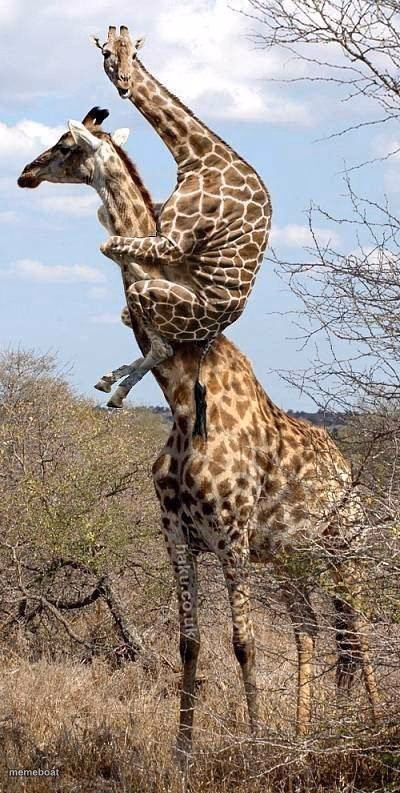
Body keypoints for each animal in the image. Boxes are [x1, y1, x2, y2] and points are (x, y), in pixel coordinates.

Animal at [18, 111, 379, 755]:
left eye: (64, 146)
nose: (24, 174)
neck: (183, 402)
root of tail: (347, 477)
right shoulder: (176, 536)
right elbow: (191, 643)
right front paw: (183, 750)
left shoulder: (231, 537)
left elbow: (244, 643)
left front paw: (256, 748)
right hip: (291, 561)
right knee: (314, 633)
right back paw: (307, 737)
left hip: (347, 553)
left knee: (358, 635)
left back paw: (370, 726)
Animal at [90, 25, 272, 412]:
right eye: (107, 53)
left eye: (133, 55)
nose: (125, 84)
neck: (197, 157)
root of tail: (217, 327)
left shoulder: (172, 243)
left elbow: (111, 243)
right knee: (141, 329)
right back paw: (110, 382)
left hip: (161, 299)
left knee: (163, 343)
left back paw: (117, 390)